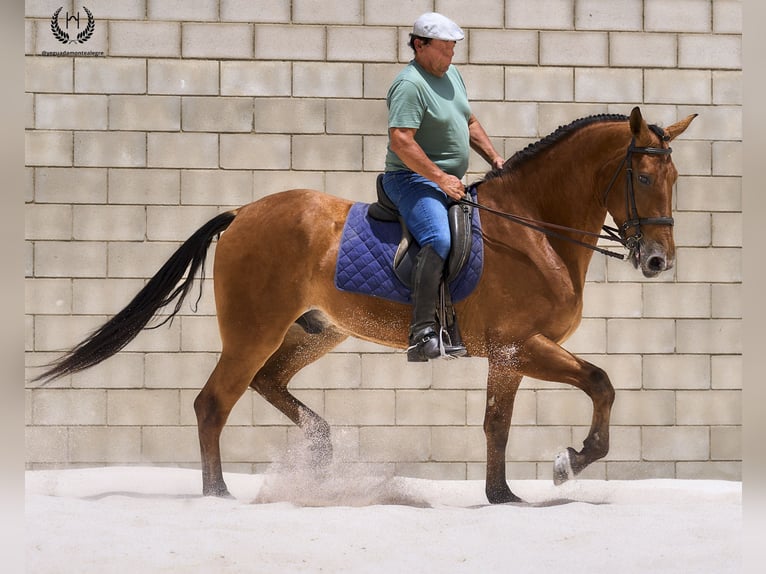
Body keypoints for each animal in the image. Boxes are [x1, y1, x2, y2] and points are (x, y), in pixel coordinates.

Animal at [34, 107, 696, 504]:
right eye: (641, 178)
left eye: (674, 180)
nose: (657, 261)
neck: (532, 228)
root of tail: (243, 212)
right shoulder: (521, 345)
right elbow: (602, 382)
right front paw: (569, 462)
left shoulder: (508, 357)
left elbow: (498, 424)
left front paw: (503, 495)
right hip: (254, 332)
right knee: (213, 403)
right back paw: (218, 493)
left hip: (316, 331)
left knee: (268, 384)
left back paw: (322, 448)